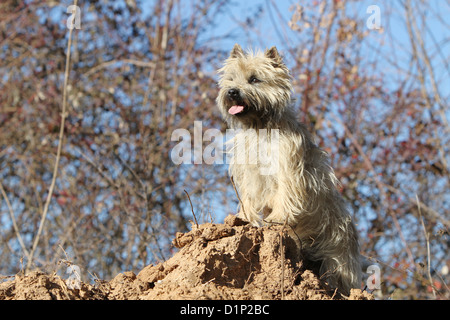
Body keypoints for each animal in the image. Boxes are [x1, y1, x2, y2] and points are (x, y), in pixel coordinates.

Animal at [215, 43, 362, 296]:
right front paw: (244, 219)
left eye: (254, 79)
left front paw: (276, 218)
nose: (232, 92)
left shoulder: (289, 171)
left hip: (337, 261)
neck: (260, 127)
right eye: (231, 78)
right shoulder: (250, 175)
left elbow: (285, 195)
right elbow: (249, 199)